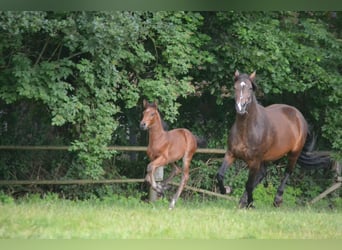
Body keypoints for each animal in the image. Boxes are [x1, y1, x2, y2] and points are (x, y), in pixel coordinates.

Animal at [216, 70, 332, 207]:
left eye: (250, 88)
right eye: (235, 87)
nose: (241, 107)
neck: (246, 130)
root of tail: (299, 116)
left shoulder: (254, 161)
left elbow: (249, 184)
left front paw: (251, 203)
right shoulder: (231, 154)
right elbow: (220, 175)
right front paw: (227, 190)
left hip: (293, 154)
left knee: (287, 172)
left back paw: (277, 200)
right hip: (266, 158)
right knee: (262, 175)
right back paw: (243, 201)